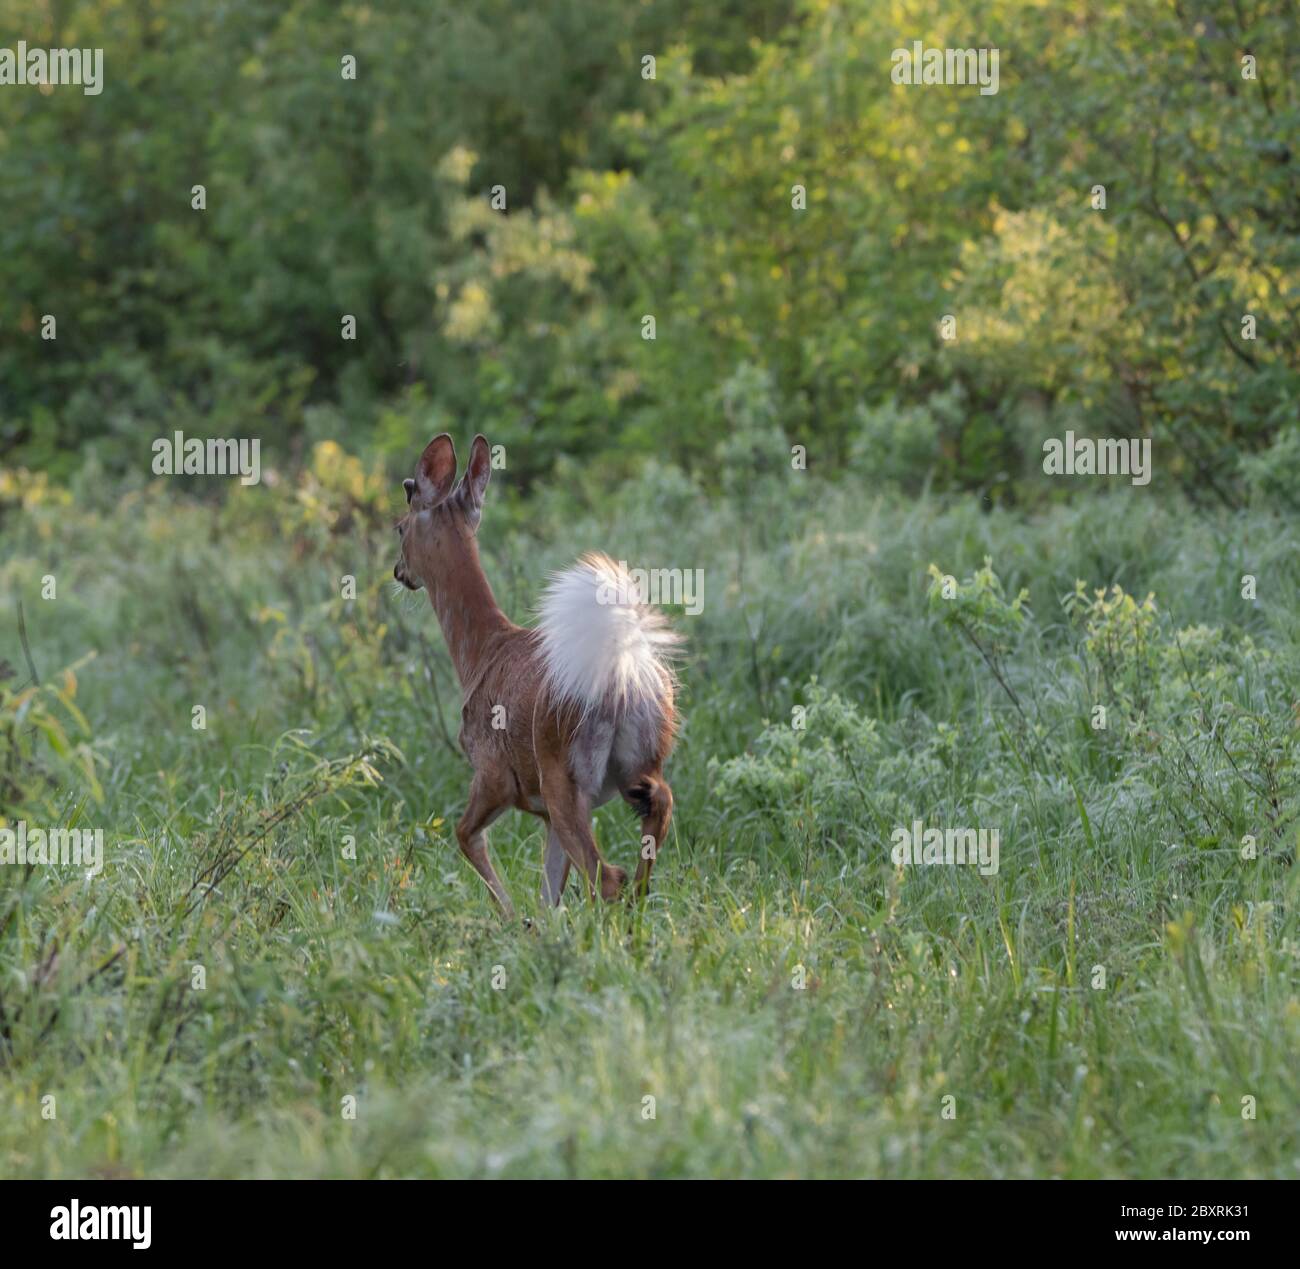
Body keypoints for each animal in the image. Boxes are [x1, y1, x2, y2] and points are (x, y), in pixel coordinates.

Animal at [392, 431, 681, 915]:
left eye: (399, 528)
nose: (398, 572)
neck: (479, 654)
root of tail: (620, 680)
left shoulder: (494, 773)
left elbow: (465, 836)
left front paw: (510, 917)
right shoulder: (542, 809)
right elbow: (549, 893)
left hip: (563, 771)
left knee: (607, 877)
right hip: (641, 761)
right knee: (655, 816)